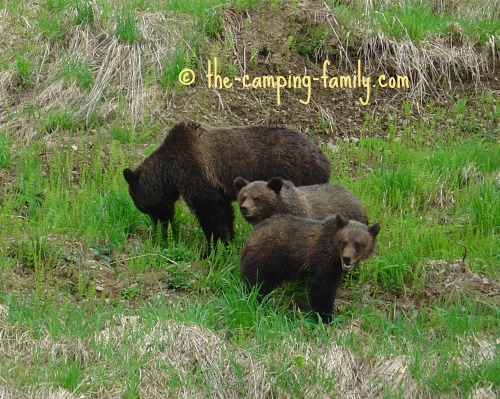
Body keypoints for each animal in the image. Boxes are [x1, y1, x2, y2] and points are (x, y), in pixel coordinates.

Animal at [123, 120, 330, 255]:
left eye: (142, 207)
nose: (159, 227)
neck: (169, 172)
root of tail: (324, 160)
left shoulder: (195, 169)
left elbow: (211, 211)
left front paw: (211, 249)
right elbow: (224, 211)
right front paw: (229, 241)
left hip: (297, 173)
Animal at [240, 214, 380, 324]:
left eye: (358, 244)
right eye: (344, 241)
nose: (346, 258)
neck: (333, 253)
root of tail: (251, 236)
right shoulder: (324, 262)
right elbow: (322, 290)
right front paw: (326, 316)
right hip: (265, 259)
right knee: (255, 284)